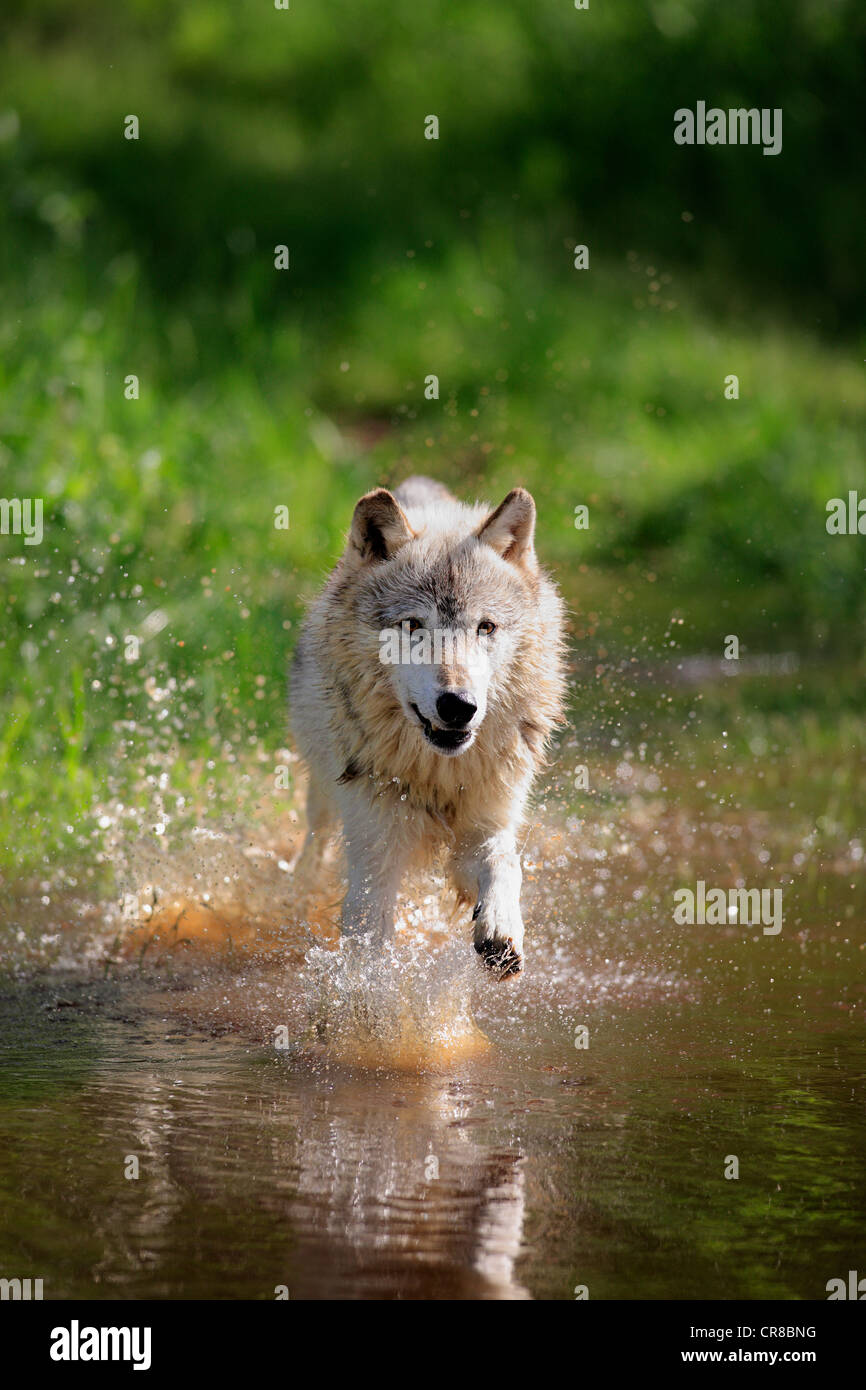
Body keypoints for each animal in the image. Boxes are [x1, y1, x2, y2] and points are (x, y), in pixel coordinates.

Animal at [287, 478, 567, 978]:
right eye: (414, 624)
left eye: (486, 627)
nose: (458, 706)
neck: (439, 775)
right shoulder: (375, 853)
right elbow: (369, 931)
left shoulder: (487, 822)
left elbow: (505, 862)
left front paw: (500, 930)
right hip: (324, 794)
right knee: (315, 844)